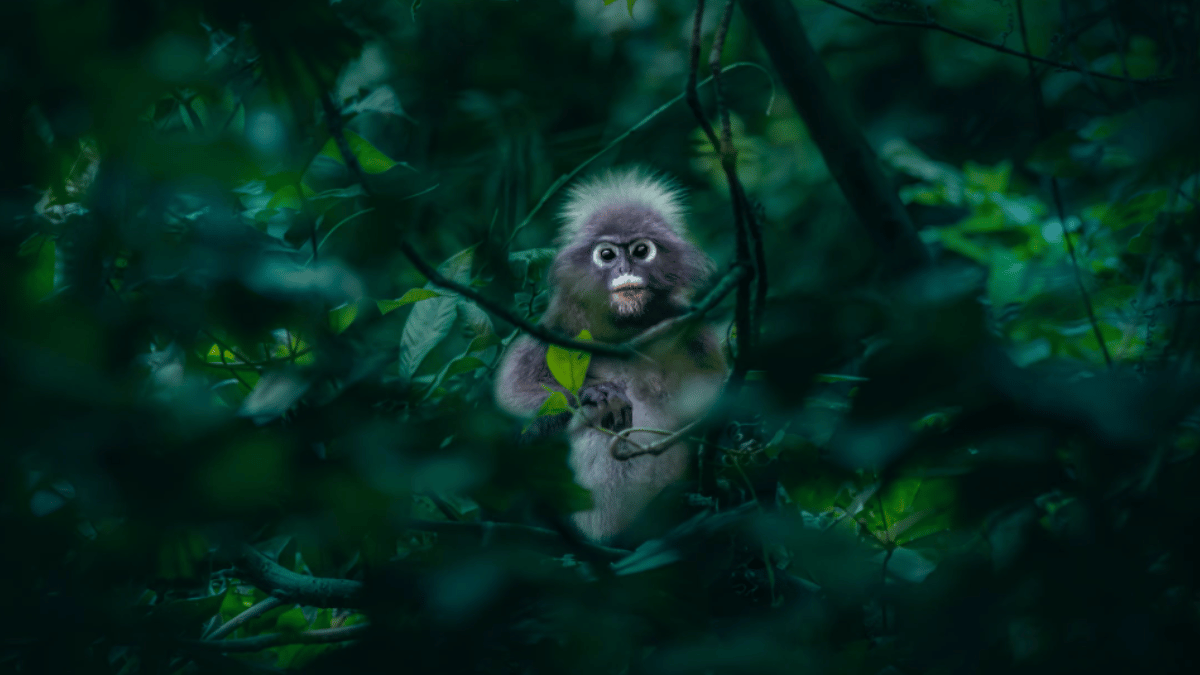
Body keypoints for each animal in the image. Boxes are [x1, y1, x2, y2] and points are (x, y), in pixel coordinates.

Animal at [494, 168, 729, 543]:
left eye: (641, 250)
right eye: (606, 254)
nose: (622, 269)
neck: (626, 332)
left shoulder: (693, 329)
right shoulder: (555, 328)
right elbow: (510, 423)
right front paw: (595, 393)